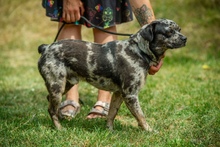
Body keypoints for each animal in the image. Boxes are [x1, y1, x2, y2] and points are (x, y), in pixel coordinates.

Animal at [37, 18, 187, 131]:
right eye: (169, 32)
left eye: (179, 30)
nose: (185, 38)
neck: (138, 51)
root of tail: (46, 47)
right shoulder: (130, 95)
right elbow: (141, 116)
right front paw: (149, 130)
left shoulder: (118, 93)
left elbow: (112, 113)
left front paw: (109, 129)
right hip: (57, 86)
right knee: (51, 109)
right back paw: (59, 128)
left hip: (66, 84)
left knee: (49, 102)